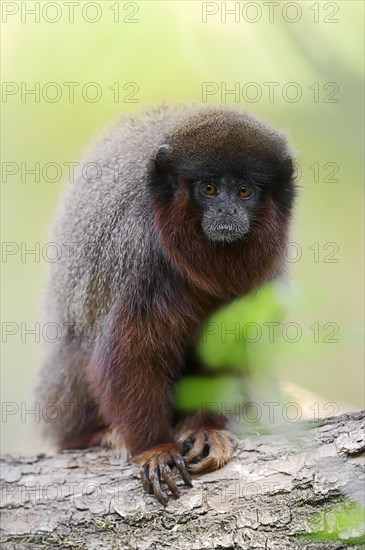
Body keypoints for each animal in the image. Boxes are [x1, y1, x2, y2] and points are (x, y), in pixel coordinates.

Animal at [34, 103, 296, 504]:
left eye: (243, 191)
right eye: (209, 189)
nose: (226, 212)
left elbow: (232, 345)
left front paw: (206, 430)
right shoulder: (139, 252)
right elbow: (131, 352)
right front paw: (155, 449)